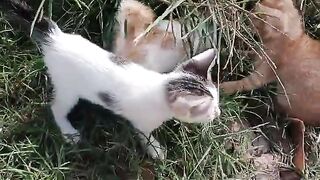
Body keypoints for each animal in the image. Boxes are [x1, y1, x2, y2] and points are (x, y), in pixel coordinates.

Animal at [2, 0, 221, 159]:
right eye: (206, 109)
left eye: (217, 102)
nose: (218, 113)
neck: (159, 86)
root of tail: (55, 38)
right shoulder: (141, 123)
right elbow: (145, 136)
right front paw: (156, 150)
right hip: (67, 89)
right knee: (56, 108)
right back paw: (69, 132)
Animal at [220, 0, 320, 174]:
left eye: (256, 15)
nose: (248, 12)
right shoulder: (258, 54)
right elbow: (248, 52)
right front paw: (226, 50)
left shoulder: (262, 72)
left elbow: (240, 84)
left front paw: (220, 86)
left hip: (287, 99)